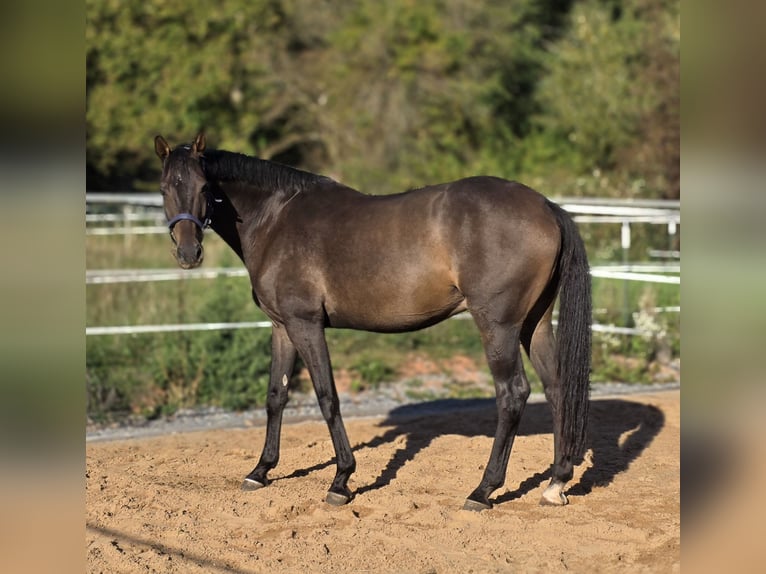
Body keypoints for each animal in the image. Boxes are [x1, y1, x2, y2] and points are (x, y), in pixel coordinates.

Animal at [154, 132, 591, 510]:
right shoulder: (282, 328)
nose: (189, 253)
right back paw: (555, 483)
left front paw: (341, 480)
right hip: (535, 324)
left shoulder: (305, 325)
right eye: (164, 189)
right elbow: (276, 396)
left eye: (205, 188)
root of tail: (547, 207)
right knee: (556, 388)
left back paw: (483, 490)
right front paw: (261, 471)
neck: (276, 218)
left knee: (513, 394)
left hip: (498, 326)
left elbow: (327, 397)